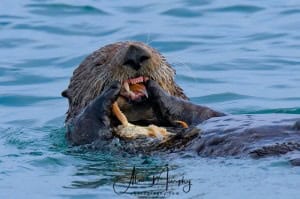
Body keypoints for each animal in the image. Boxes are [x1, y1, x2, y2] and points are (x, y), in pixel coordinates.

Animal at [61, 40, 300, 165]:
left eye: (153, 49)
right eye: (99, 64)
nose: (135, 52)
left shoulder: (206, 115)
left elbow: (199, 112)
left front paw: (157, 90)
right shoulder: (91, 144)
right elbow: (87, 128)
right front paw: (107, 95)